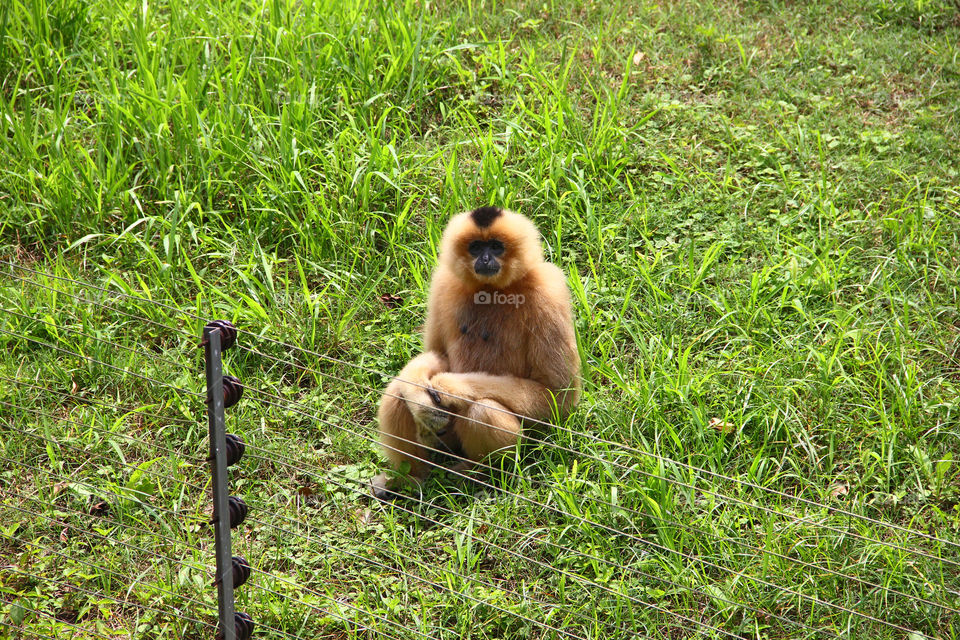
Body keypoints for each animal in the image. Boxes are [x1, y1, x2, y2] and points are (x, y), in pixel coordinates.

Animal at [370, 208, 576, 498]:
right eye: (476, 247)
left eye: (496, 247)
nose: (486, 258)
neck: (491, 291)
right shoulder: (443, 281)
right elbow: (436, 354)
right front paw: (421, 399)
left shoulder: (549, 291)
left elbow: (558, 396)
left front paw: (450, 386)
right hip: (444, 437)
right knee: (398, 391)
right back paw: (410, 478)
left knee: (484, 409)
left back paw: (478, 473)